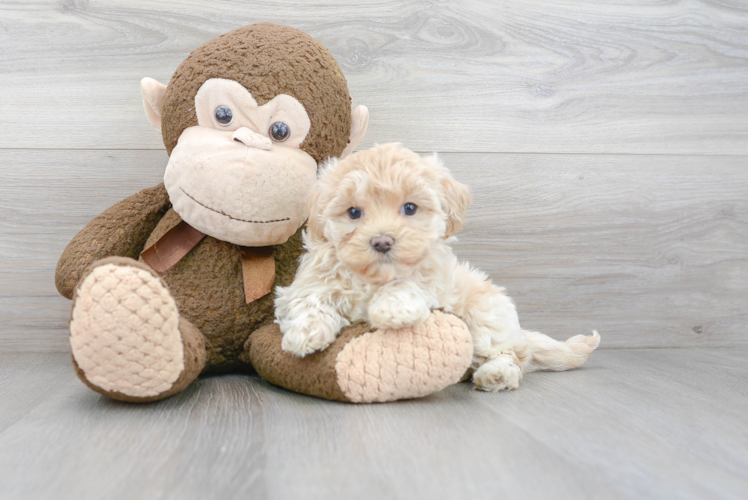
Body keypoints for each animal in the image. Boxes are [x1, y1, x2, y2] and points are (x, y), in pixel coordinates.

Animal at [278, 144, 600, 390]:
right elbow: (308, 298)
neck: (375, 277)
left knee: (508, 354)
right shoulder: (309, 280)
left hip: (486, 316)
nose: (382, 242)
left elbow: (410, 282)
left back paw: (496, 374)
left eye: (410, 208)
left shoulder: (436, 280)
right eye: (353, 212)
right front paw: (306, 333)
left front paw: (392, 309)